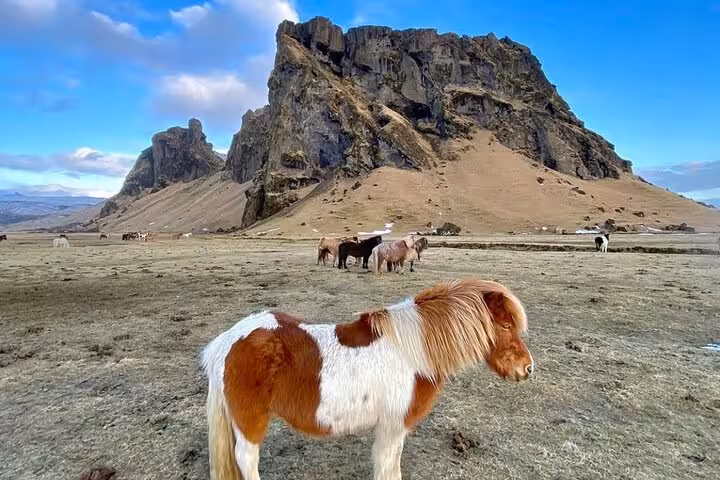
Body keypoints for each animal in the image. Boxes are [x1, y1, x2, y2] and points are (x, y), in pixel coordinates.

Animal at [200, 278, 533, 480]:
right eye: (505, 325)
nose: (527, 368)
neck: (413, 351)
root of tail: (227, 340)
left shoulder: (396, 429)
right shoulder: (391, 427)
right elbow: (388, 468)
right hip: (249, 420)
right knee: (246, 459)